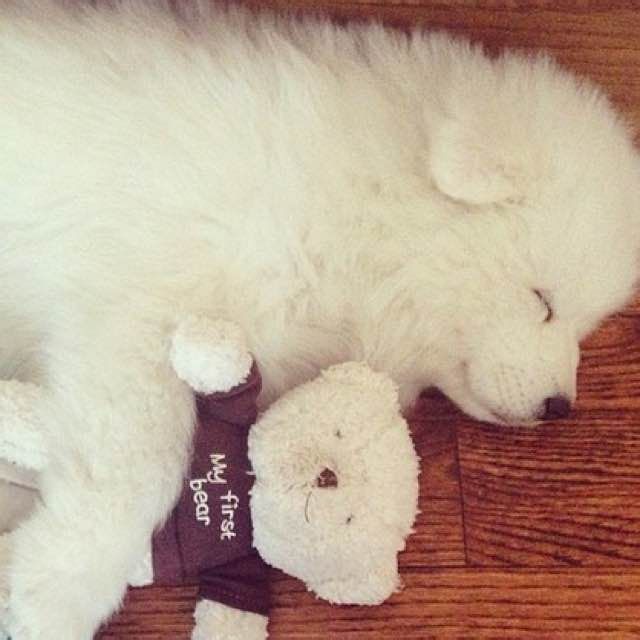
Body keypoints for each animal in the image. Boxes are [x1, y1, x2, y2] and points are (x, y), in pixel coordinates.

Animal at [0, 1, 639, 637]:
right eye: (543, 300)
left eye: (582, 327)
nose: (560, 407)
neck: (359, 218)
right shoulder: (136, 317)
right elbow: (132, 473)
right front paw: (52, 594)